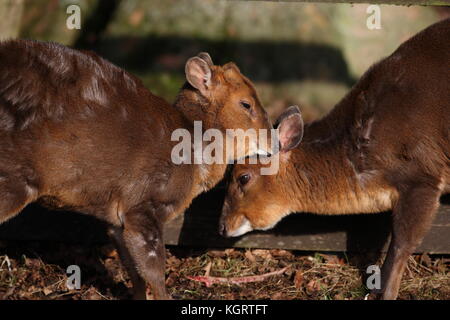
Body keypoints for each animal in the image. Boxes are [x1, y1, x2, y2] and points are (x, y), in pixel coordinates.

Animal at [0, 40, 270, 300]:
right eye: (246, 104)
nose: (273, 142)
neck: (194, 153)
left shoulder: (117, 219)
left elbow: (133, 268)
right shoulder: (145, 202)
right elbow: (153, 268)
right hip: (12, 179)